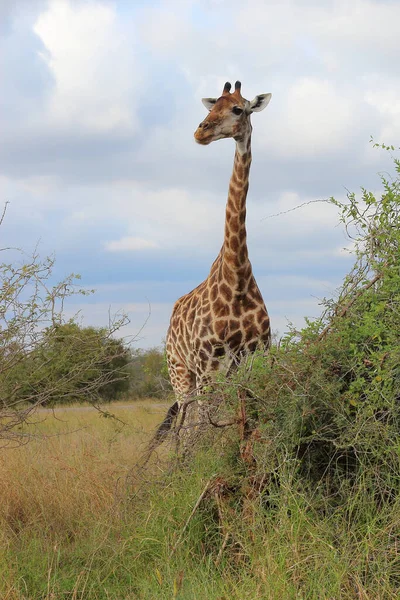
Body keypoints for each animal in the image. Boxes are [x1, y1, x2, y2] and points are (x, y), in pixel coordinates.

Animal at [158, 78, 270, 436]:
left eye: (237, 109)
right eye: (213, 107)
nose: (200, 131)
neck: (237, 277)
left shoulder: (256, 355)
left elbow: (244, 418)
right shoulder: (208, 362)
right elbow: (205, 428)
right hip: (181, 372)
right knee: (187, 427)